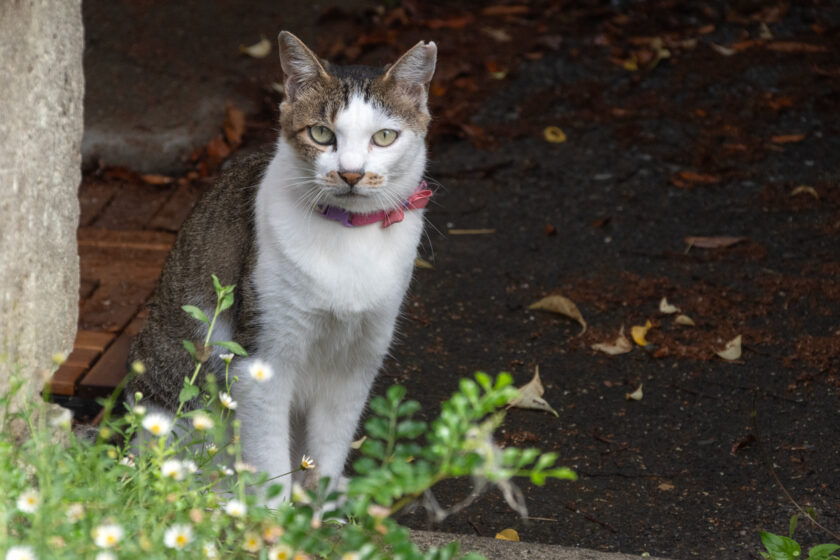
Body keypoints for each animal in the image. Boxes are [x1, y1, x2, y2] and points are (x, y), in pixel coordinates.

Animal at [128, 32, 440, 500]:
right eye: (321, 133)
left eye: (384, 136)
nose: (351, 174)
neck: (349, 237)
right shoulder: (262, 358)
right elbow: (267, 459)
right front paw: (271, 517)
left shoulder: (358, 361)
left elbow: (330, 447)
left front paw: (321, 506)